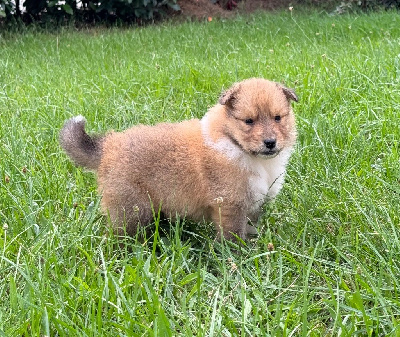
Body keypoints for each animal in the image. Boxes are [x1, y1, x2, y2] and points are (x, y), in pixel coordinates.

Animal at [59, 78, 296, 239]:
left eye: (277, 118)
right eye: (249, 121)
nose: (270, 142)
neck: (236, 145)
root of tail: (108, 146)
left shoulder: (255, 204)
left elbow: (250, 228)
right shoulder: (230, 205)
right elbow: (233, 236)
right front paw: (236, 259)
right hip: (131, 208)